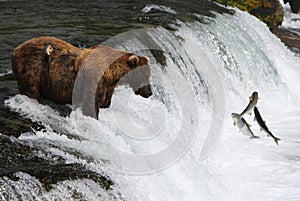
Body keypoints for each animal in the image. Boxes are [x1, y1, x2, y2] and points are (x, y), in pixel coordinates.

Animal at [11, 36, 152, 118]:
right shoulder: (93, 80)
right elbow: (91, 105)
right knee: (31, 90)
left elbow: (105, 103)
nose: (149, 92)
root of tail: (16, 49)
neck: (111, 75)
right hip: (32, 71)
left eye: (149, 75)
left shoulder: (108, 87)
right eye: (144, 76)